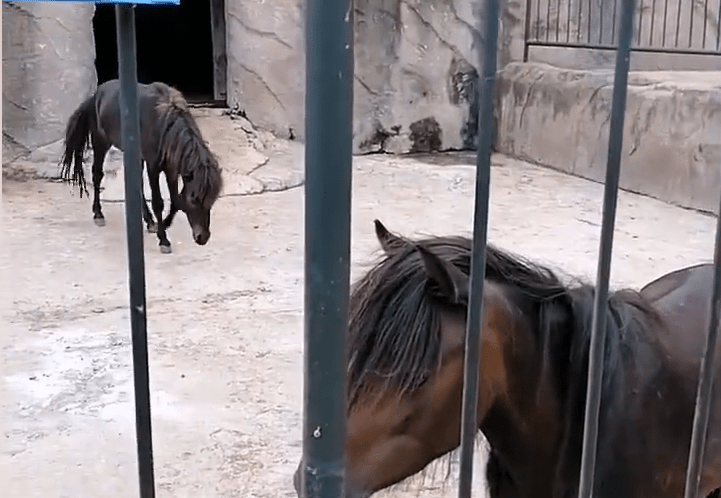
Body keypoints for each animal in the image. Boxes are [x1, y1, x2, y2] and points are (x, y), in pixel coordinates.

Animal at [59, 80, 222, 255]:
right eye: (194, 199)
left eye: (212, 200)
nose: (202, 237)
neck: (163, 124)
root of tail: (95, 96)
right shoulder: (153, 166)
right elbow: (158, 203)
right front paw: (163, 240)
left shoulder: (171, 168)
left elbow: (176, 200)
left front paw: (163, 224)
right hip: (100, 142)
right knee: (97, 175)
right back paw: (98, 214)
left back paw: (149, 221)